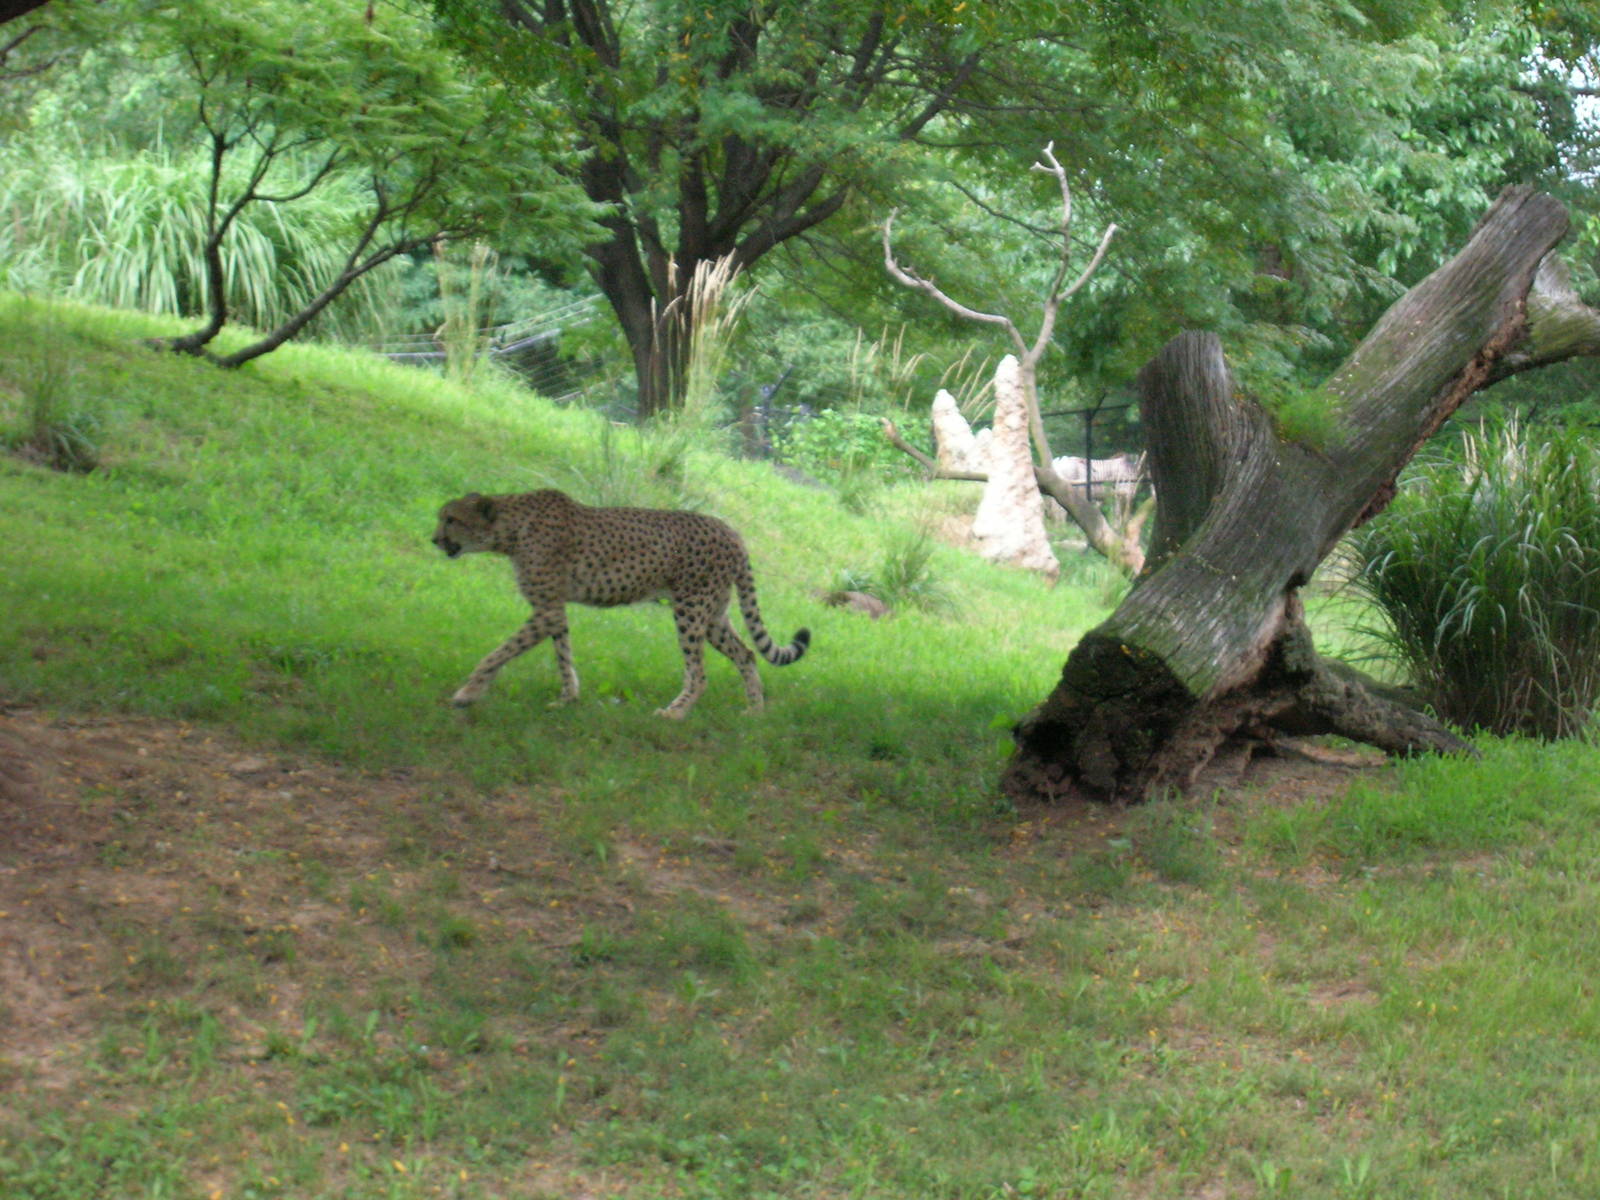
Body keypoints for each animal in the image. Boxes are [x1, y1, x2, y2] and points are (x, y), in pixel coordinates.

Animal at [432, 488, 809, 718]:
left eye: (451, 519)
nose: (434, 539)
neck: (511, 529)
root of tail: (732, 531)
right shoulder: (555, 612)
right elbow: (563, 656)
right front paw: (567, 699)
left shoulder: (546, 611)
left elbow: (498, 653)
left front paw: (468, 693)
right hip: (713, 615)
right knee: (746, 654)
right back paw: (755, 711)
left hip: (689, 610)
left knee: (699, 672)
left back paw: (675, 713)